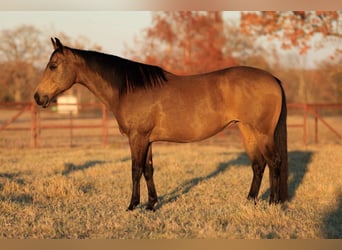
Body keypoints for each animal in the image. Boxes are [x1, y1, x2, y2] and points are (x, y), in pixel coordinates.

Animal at [34, 37, 288, 211]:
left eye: (53, 65)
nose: (38, 97)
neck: (129, 89)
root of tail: (273, 79)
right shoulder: (147, 139)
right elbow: (148, 170)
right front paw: (151, 204)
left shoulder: (137, 137)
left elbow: (135, 170)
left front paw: (132, 205)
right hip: (247, 130)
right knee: (258, 165)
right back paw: (250, 200)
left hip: (262, 133)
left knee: (274, 162)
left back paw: (273, 202)